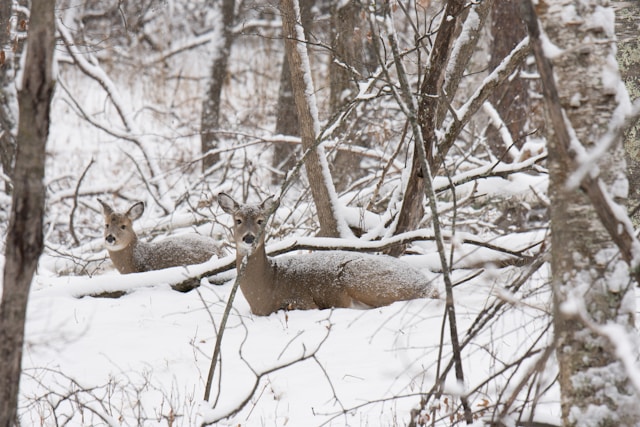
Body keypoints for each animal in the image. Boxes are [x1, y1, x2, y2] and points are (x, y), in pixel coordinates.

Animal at [218, 192, 438, 316]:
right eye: (237, 220)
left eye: (261, 220)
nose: (248, 238)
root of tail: (429, 286)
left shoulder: (302, 300)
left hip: (359, 276)